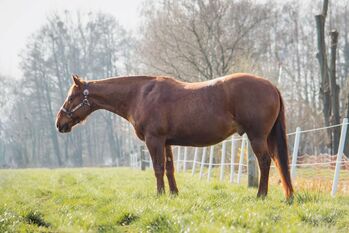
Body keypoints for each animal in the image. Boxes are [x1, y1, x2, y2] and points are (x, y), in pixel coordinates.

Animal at [55, 73, 294, 200]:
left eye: (71, 97)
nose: (59, 123)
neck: (140, 95)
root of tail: (271, 86)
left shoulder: (154, 140)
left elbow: (158, 168)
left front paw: (160, 195)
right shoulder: (166, 142)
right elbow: (169, 168)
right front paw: (173, 194)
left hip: (257, 137)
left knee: (265, 162)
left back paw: (261, 195)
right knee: (276, 161)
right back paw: (287, 195)